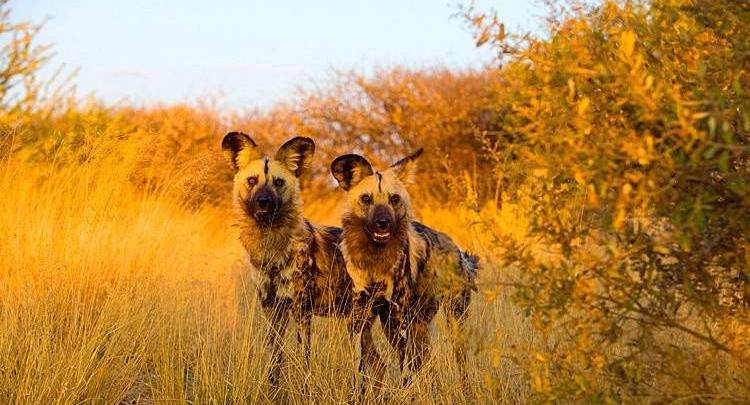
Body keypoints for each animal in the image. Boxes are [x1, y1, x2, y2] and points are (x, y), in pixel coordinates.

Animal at [223, 133, 400, 392]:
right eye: (252, 180)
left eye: (278, 182)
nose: (264, 202)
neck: (271, 247)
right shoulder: (272, 309)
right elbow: (275, 359)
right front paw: (272, 391)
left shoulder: (301, 310)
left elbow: (303, 359)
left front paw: (302, 392)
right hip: (363, 323)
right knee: (378, 364)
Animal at [332, 148, 478, 388]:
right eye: (366, 199)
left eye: (394, 199)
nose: (383, 223)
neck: (375, 259)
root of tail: (455, 248)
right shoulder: (359, 317)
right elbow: (359, 368)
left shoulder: (399, 317)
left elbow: (406, 373)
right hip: (402, 325)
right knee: (414, 363)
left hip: (450, 320)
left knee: (458, 365)